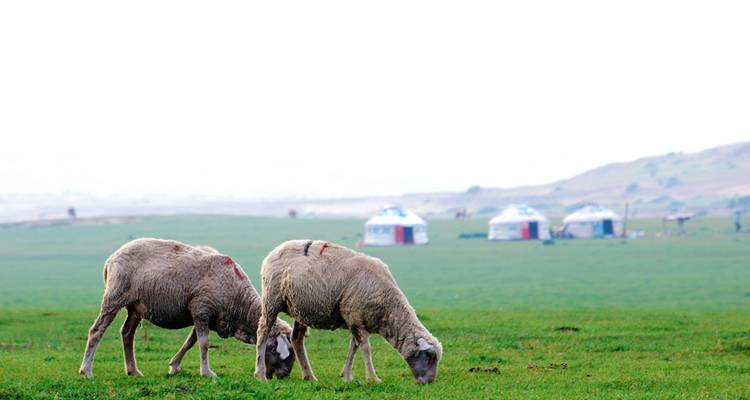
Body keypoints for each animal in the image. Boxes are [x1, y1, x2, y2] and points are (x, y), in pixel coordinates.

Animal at [78, 238, 295, 379]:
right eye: (274, 349)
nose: (285, 375)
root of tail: (111, 259)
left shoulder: (204, 314)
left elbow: (191, 341)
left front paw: (174, 366)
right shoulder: (201, 309)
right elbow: (204, 344)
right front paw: (207, 373)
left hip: (135, 306)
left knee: (127, 334)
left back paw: (133, 371)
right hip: (115, 296)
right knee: (97, 330)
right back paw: (86, 370)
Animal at [254, 240, 442, 384]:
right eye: (429, 356)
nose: (429, 382)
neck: (388, 308)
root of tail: (274, 251)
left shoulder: (356, 319)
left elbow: (354, 347)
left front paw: (347, 376)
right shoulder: (354, 316)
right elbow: (365, 348)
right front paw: (373, 378)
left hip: (300, 308)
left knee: (296, 339)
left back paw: (309, 376)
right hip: (272, 300)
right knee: (263, 333)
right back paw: (260, 374)